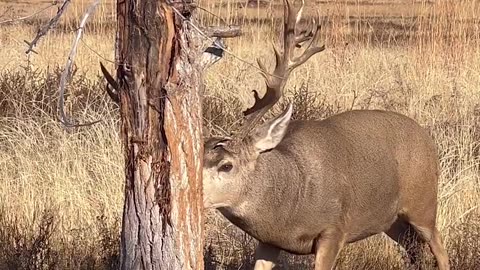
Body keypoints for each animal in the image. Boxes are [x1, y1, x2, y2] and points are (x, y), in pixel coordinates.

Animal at [202, 0, 450, 270]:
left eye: (227, 165)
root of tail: (427, 137)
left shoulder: (334, 230)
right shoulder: (268, 241)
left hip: (423, 203)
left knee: (439, 246)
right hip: (392, 220)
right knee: (414, 249)